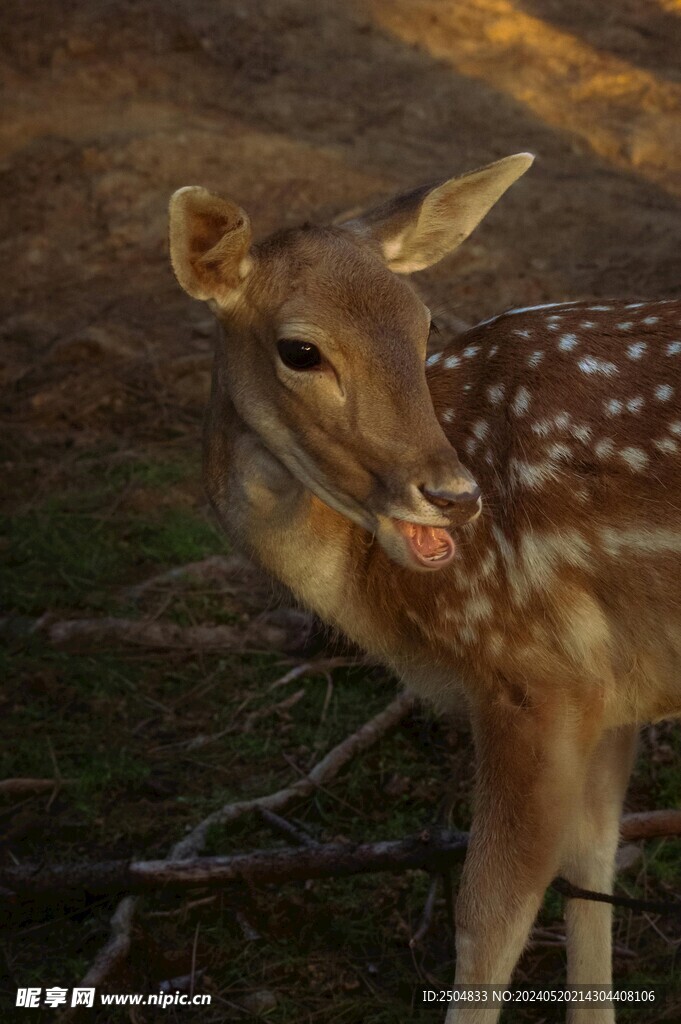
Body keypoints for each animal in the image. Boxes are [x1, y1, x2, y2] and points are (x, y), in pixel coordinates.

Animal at [168, 153, 681, 1022]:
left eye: (423, 324)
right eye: (299, 350)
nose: (451, 494)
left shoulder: (532, 670)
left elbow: (486, 921)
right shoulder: (611, 686)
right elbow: (590, 870)